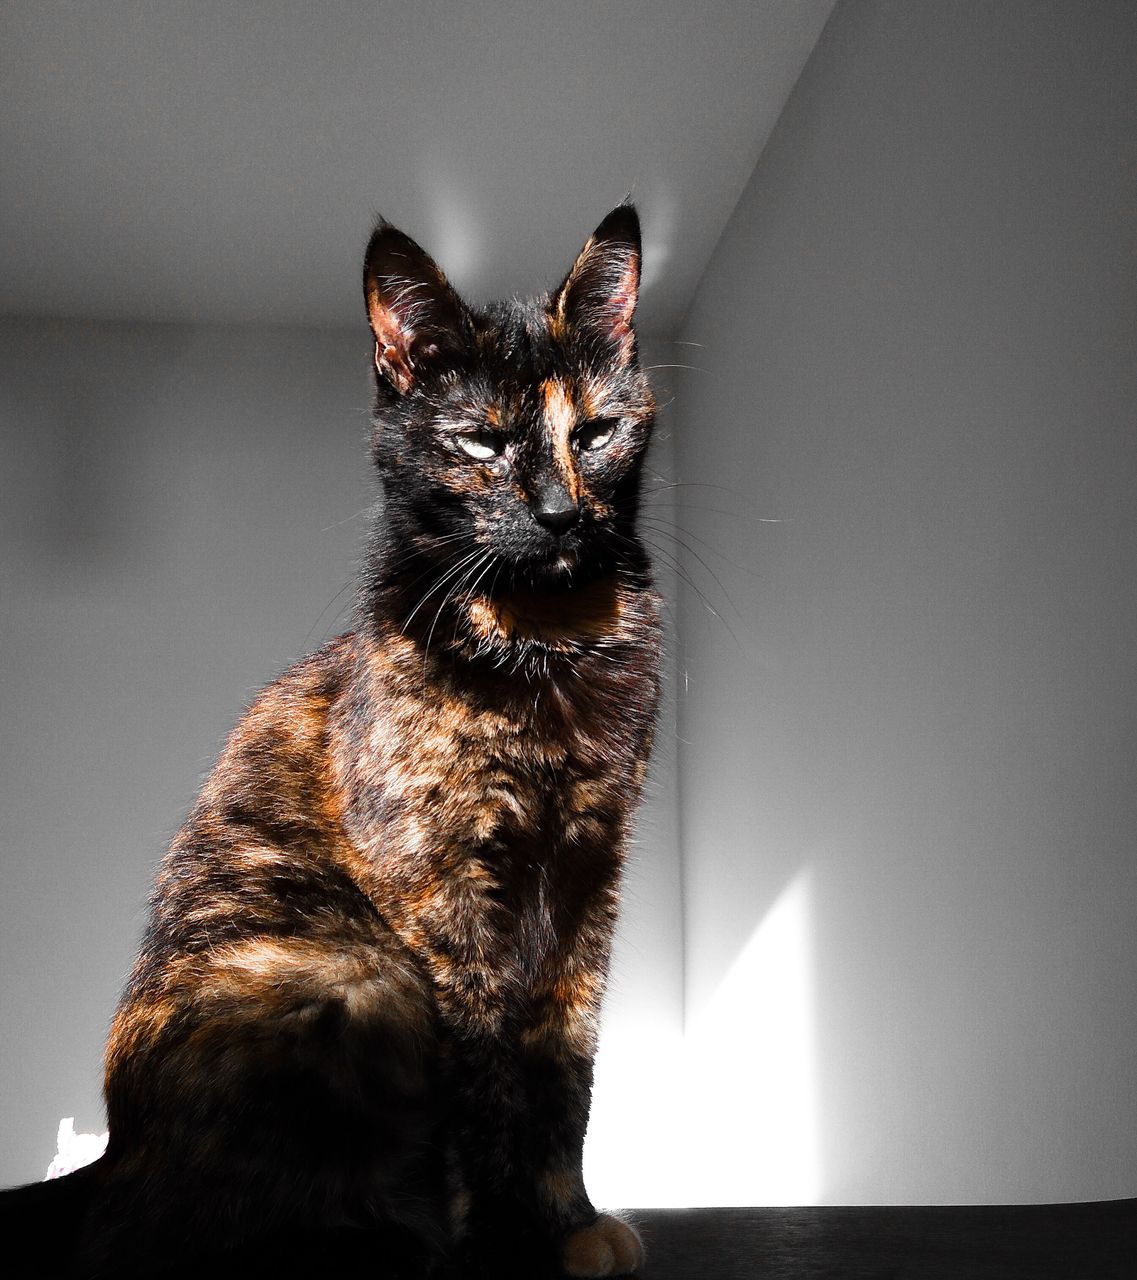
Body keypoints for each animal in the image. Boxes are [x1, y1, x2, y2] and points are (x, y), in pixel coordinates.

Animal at [2, 204, 655, 1274]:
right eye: (482, 441)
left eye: (595, 432)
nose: (561, 515)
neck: (547, 646)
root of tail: (115, 1154)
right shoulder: (440, 893)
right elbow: (484, 1086)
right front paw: (496, 1244)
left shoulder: (587, 872)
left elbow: (564, 1068)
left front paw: (566, 1224)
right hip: (356, 973)